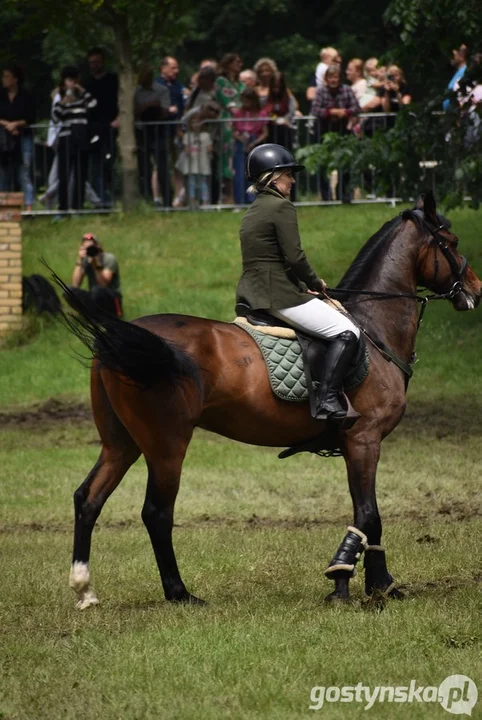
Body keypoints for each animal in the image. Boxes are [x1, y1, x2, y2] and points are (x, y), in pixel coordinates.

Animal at [58, 191, 480, 608]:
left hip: (122, 442)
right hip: (166, 445)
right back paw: (180, 594)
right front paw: (352, 581)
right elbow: (368, 514)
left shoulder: (358, 442)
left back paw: (85, 590)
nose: (475, 290)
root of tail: (119, 338)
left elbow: (368, 516)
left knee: (88, 498)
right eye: (454, 242)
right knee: (156, 513)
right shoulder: (364, 438)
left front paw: (371, 583)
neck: (373, 329)